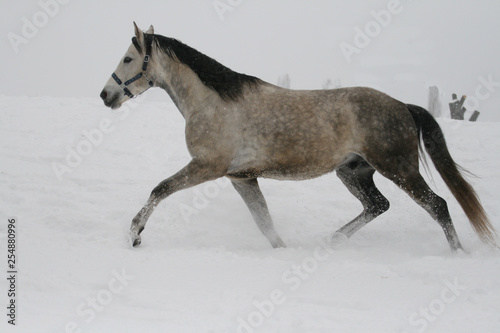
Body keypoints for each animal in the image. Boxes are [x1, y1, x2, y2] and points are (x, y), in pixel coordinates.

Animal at [98, 23, 496, 250]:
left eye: (129, 58)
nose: (106, 95)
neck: (214, 102)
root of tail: (403, 106)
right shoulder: (241, 177)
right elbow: (264, 222)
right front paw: (282, 250)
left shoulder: (206, 167)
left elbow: (159, 189)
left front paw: (134, 234)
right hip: (353, 171)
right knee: (378, 205)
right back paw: (334, 240)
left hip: (399, 169)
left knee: (438, 206)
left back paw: (458, 254)